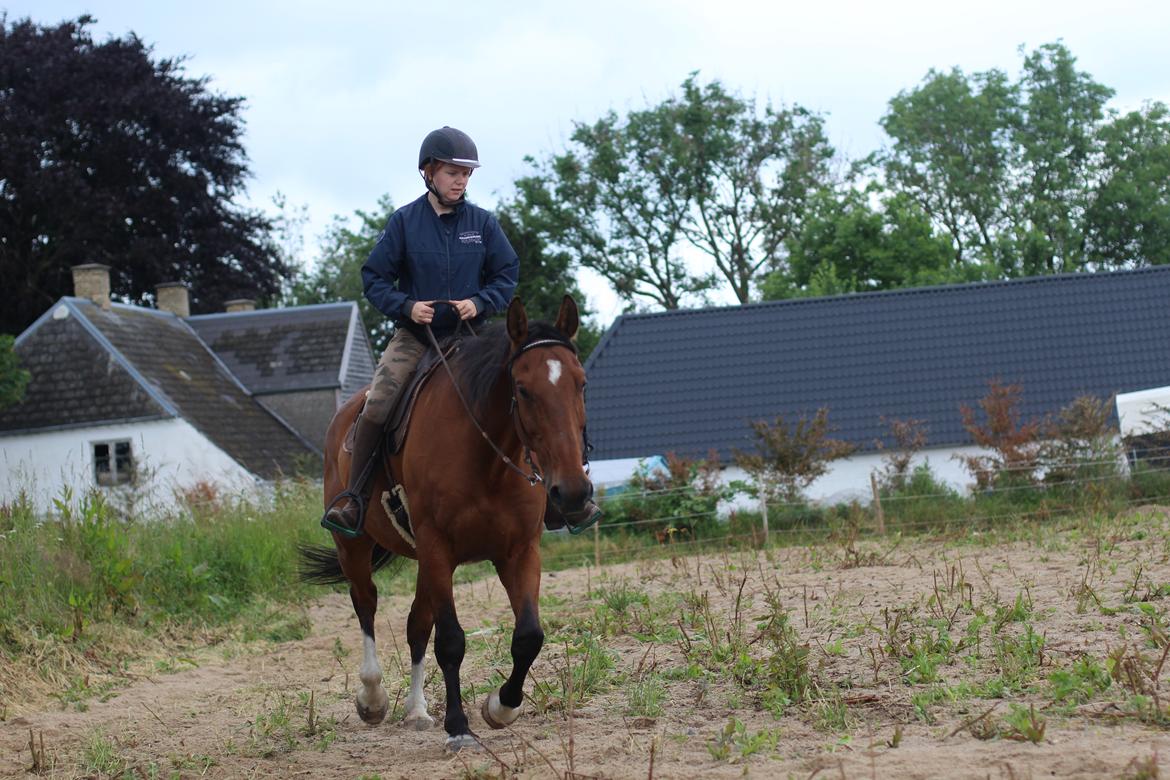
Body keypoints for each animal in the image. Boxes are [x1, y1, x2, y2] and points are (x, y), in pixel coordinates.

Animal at [299, 297, 594, 748]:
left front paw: (501, 707)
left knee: (417, 625)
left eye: (580, 383)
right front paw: (458, 726)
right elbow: (452, 641)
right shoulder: (437, 546)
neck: (488, 460)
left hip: (425, 561)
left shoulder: (519, 551)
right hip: (355, 546)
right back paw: (373, 698)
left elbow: (529, 636)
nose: (573, 492)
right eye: (523, 389)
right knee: (366, 603)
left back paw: (417, 711)